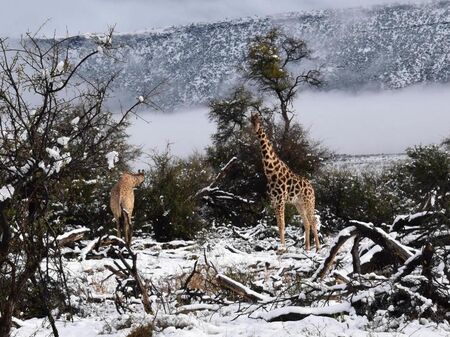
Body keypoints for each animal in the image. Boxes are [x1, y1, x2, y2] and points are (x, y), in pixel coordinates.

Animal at [250, 111, 320, 251]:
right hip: (299, 203)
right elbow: (278, 224)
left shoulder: (281, 200)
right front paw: (281, 247)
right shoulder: (274, 201)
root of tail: (312, 188)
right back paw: (307, 248)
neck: (271, 171)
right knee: (306, 222)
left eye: (259, 120)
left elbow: (282, 224)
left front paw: (282, 249)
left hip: (309, 202)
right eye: (250, 120)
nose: (255, 129)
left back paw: (318, 248)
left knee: (313, 220)